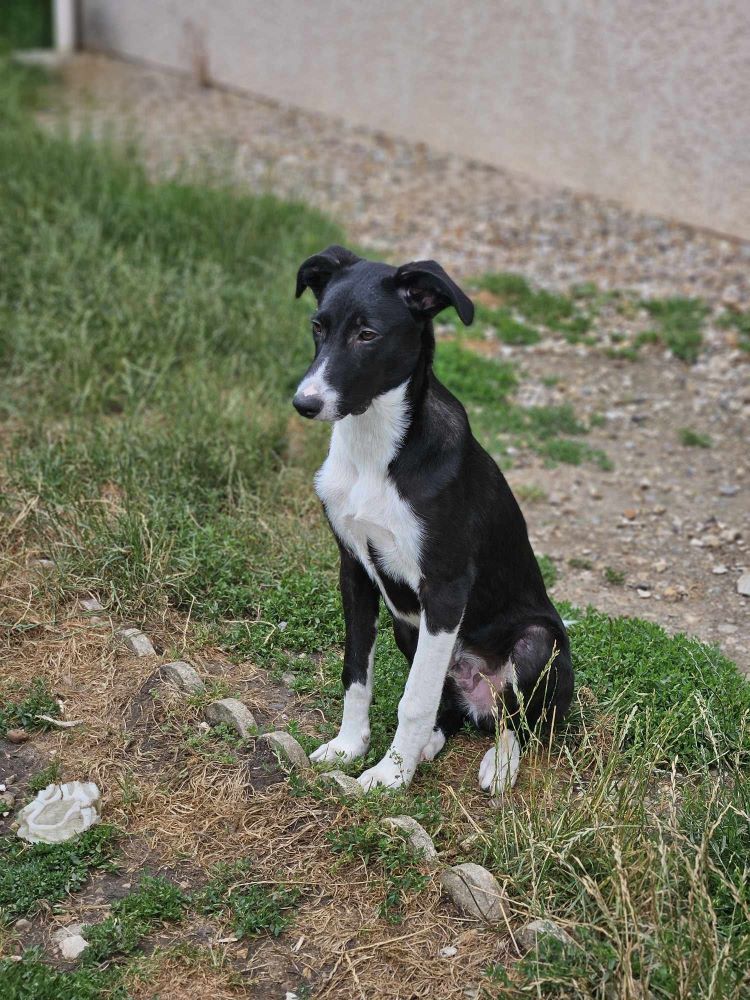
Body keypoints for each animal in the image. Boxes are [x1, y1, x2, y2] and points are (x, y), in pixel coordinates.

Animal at [294, 246, 576, 792]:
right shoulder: (354, 571)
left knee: (516, 723)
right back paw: (430, 745)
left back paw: (499, 764)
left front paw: (389, 777)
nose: (305, 403)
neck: (375, 451)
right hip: (408, 628)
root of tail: (478, 698)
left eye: (367, 335)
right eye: (318, 327)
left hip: (537, 643)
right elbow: (356, 673)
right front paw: (349, 746)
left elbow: (414, 699)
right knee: (452, 710)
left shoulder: (445, 588)